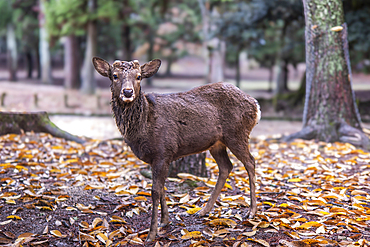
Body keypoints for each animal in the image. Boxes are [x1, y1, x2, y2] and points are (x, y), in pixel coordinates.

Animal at [92, 57, 260, 242]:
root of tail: (256, 105)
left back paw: (251, 212)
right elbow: (161, 188)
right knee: (226, 166)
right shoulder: (159, 157)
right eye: (115, 76)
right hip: (217, 143)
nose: (128, 92)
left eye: (138, 76)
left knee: (250, 162)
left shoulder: (163, 151)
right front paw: (165, 221)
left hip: (237, 134)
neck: (144, 126)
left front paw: (151, 234)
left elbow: (155, 191)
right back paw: (203, 210)